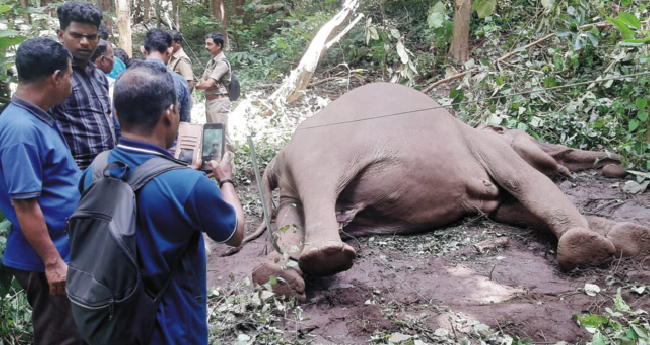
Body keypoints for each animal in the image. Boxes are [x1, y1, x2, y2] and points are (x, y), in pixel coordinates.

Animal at [249, 82, 648, 300]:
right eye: (531, 138)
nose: (615, 163)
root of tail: (276, 157)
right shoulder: (487, 147)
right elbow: (524, 181)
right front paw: (587, 248)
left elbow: (511, 210)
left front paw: (632, 240)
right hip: (320, 151)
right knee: (320, 186)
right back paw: (326, 258)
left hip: (290, 185)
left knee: (289, 219)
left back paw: (281, 279)